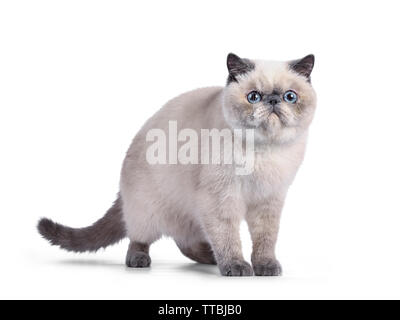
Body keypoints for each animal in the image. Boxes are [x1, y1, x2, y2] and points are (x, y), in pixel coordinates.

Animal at [39, 52, 318, 276]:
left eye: (290, 97)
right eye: (253, 97)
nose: (273, 101)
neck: (264, 151)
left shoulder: (268, 201)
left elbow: (265, 239)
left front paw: (265, 266)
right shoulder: (220, 200)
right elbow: (228, 237)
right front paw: (236, 266)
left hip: (192, 214)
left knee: (186, 243)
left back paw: (210, 258)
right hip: (150, 211)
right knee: (138, 238)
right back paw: (141, 260)